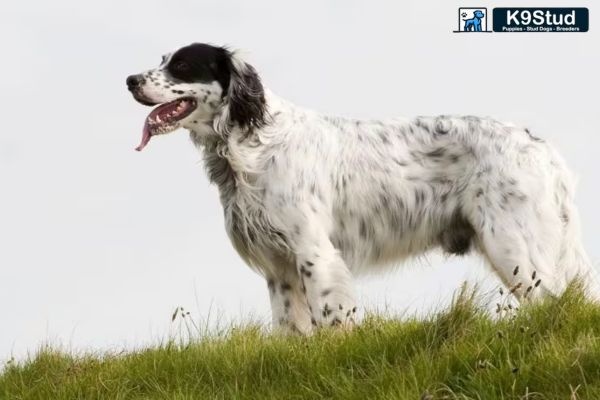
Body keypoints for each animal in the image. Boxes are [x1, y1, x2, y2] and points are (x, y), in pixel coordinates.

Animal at [126, 42, 600, 334]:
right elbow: (290, 328)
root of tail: (541, 148)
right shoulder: (278, 269)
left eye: (182, 65)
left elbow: (331, 317)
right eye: (162, 59)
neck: (252, 144)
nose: (129, 80)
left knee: (555, 303)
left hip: (513, 247)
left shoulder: (314, 252)